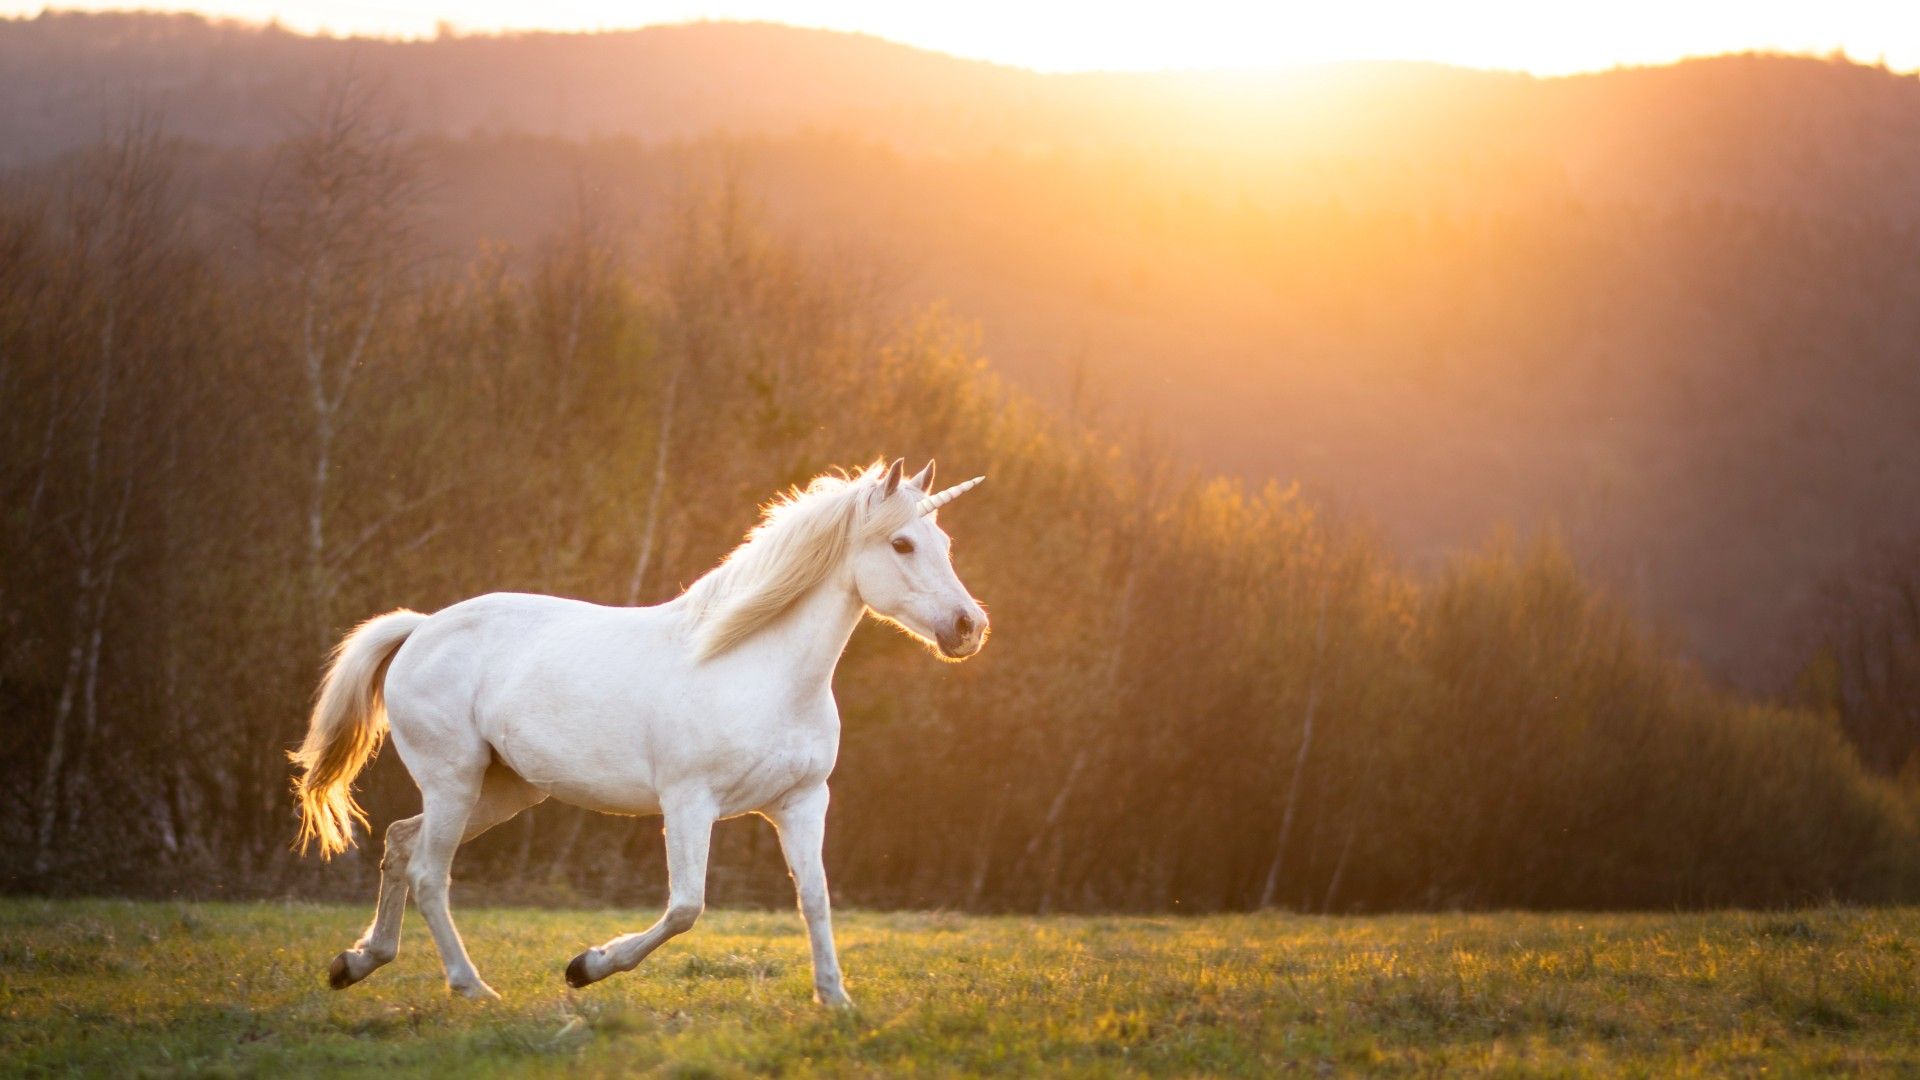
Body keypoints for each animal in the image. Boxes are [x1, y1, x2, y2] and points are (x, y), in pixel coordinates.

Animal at [295, 455, 1006, 999]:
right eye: (902, 544)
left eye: (944, 545)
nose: (968, 628)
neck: (756, 668)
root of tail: (421, 628)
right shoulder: (689, 802)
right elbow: (686, 906)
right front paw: (586, 967)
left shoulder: (801, 803)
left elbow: (816, 899)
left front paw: (835, 1001)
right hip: (455, 781)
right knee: (428, 874)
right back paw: (471, 987)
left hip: (501, 790)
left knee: (400, 842)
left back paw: (355, 963)